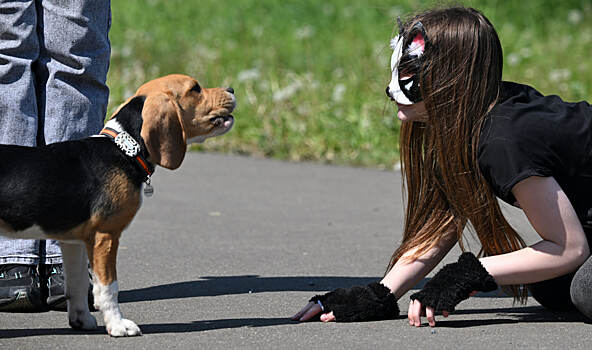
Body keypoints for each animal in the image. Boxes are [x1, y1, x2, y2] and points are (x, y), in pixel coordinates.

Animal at [0, 74, 236, 336]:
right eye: (195, 88)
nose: (231, 89)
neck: (124, 148)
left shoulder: (74, 242)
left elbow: (78, 284)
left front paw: (81, 320)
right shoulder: (105, 236)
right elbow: (108, 287)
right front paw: (118, 325)